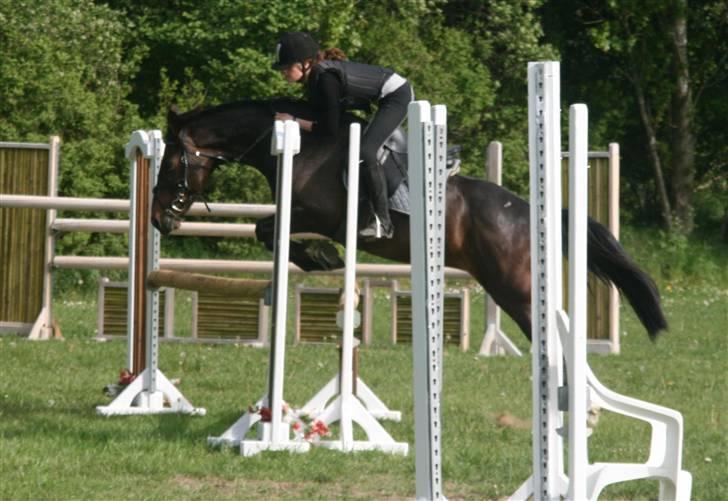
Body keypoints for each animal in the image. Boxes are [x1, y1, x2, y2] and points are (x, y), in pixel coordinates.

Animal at [151, 97, 668, 340]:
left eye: (172, 162)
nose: (157, 220)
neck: (302, 145)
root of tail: (528, 211)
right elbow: (267, 230)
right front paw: (322, 258)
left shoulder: (320, 213)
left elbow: (267, 228)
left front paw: (321, 257)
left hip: (514, 288)